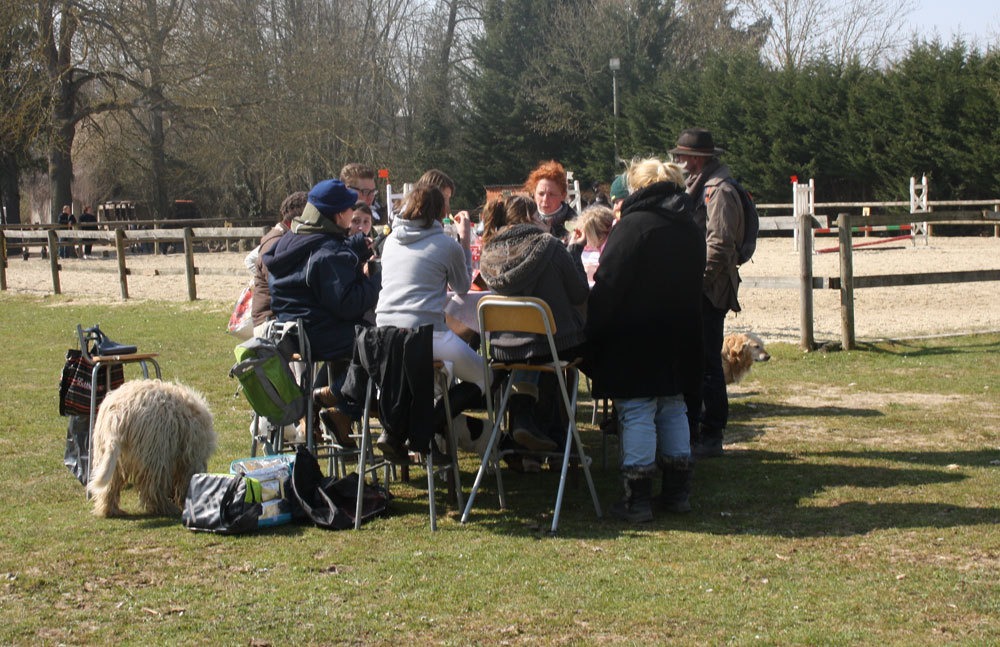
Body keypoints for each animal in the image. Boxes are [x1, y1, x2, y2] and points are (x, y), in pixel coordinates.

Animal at [89, 380, 216, 516]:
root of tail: (118, 416)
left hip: (110, 456)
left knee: (109, 487)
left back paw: (110, 509)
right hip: (155, 454)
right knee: (152, 489)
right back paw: (167, 508)